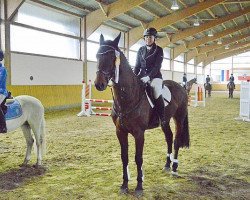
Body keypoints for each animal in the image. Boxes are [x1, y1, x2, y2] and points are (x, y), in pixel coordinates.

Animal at [94, 33, 189, 196]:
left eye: (112, 56)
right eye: (97, 55)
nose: (99, 84)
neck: (128, 97)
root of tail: (181, 87)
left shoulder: (139, 133)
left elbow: (138, 158)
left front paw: (139, 187)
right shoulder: (120, 132)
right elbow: (124, 157)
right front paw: (124, 185)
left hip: (179, 118)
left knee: (176, 140)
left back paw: (174, 168)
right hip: (165, 121)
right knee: (169, 138)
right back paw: (167, 165)